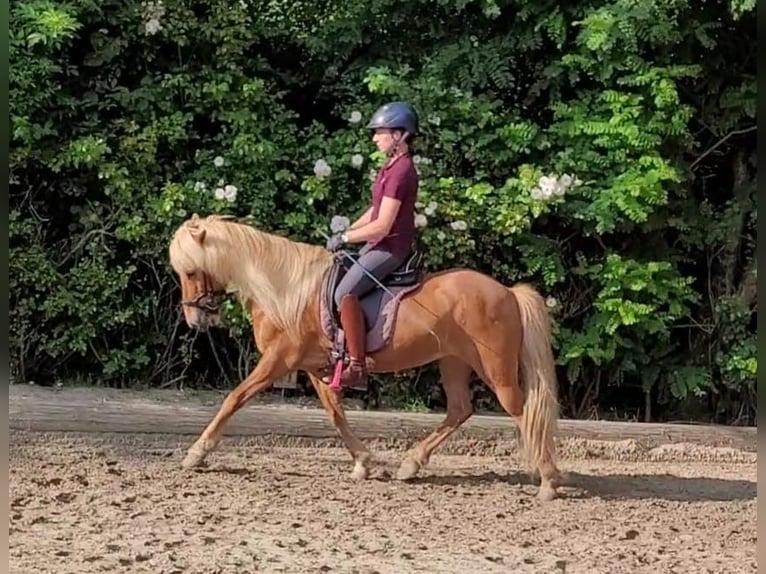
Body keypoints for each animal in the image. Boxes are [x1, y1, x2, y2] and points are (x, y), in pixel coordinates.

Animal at [168, 214, 564, 502]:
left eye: (190, 271)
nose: (194, 319)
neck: (284, 289)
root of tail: (508, 293)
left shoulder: (280, 360)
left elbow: (234, 399)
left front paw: (197, 453)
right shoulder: (313, 366)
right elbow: (336, 414)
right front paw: (365, 462)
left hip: (494, 368)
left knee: (523, 411)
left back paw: (548, 481)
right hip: (453, 361)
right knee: (460, 409)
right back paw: (411, 464)